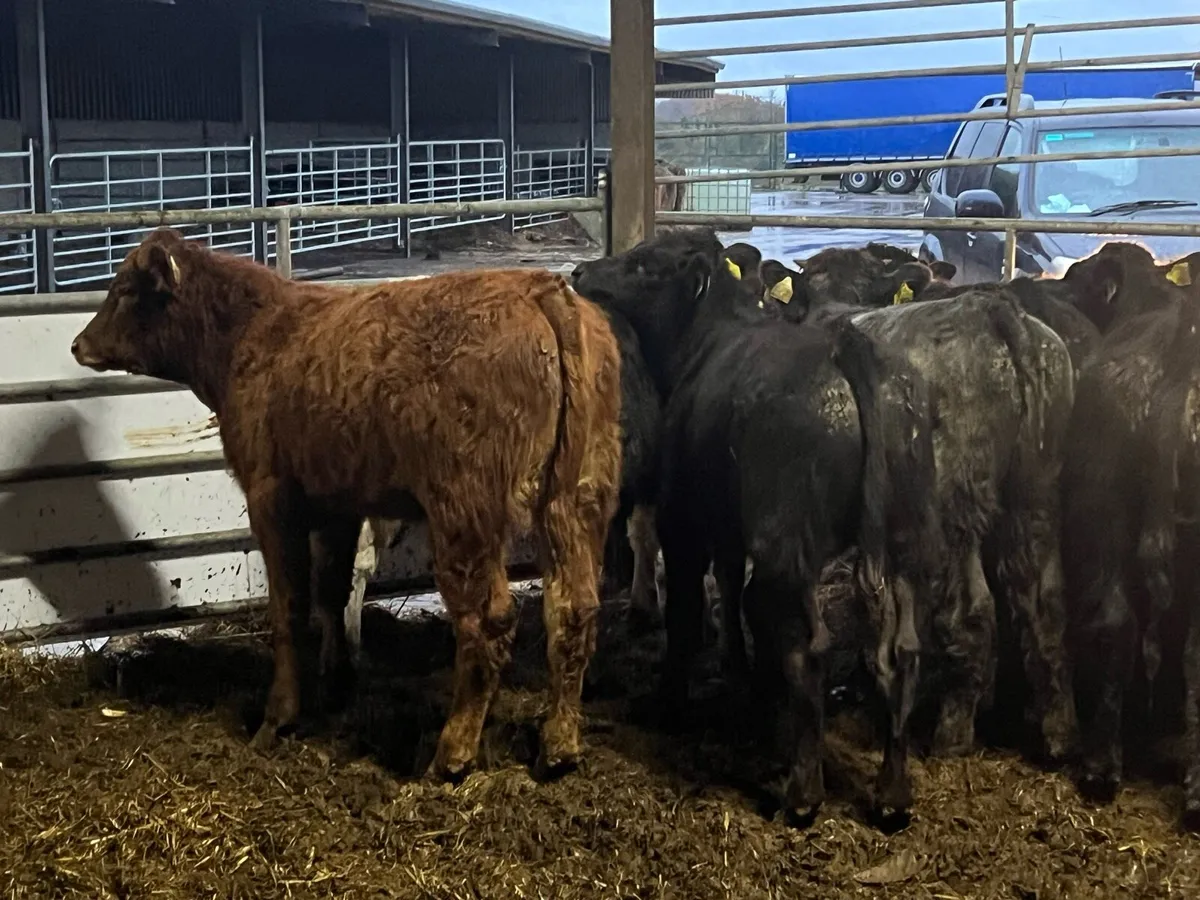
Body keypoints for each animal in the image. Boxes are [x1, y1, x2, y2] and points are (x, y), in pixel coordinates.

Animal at [70, 228, 623, 781]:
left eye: (125, 289)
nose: (78, 344)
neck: (255, 336)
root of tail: (541, 288)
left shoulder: (272, 498)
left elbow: (290, 606)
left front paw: (279, 718)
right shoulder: (337, 503)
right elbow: (332, 592)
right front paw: (336, 686)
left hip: (464, 511)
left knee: (488, 621)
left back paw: (451, 754)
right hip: (578, 498)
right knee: (572, 610)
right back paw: (559, 746)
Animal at [573, 227, 943, 825]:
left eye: (647, 264)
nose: (581, 272)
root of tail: (846, 348)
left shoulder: (684, 519)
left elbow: (685, 611)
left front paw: (669, 703)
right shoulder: (728, 523)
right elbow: (727, 585)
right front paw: (742, 676)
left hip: (788, 544)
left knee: (809, 648)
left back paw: (802, 793)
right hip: (907, 539)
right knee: (902, 652)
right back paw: (892, 794)